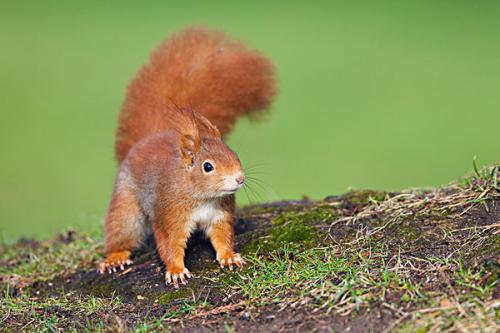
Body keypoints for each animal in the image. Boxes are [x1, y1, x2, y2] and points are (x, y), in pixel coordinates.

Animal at [97, 26, 278, 286]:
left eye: (234, 154)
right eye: (208, 167)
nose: (239, 178)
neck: (202, 197)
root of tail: (146, 139)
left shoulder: (219, 214)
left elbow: (222, 237)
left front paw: (229, 257)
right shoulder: (170, 215)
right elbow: (169, 245)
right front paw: (175, 270)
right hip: (126, 204)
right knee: (121, 230)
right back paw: (115, 257)